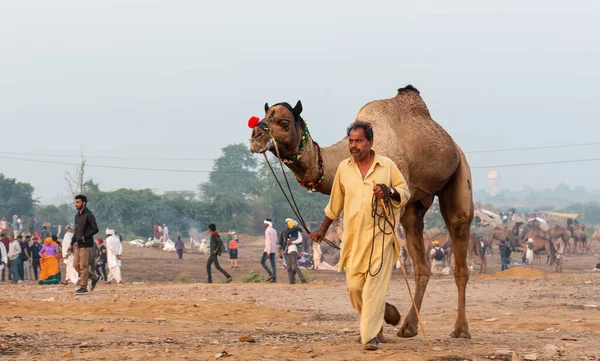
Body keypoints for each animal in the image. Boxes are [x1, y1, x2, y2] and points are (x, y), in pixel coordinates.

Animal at [248, 85, 474, 338]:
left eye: (284, 122)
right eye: (265, 115)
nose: (256, 135)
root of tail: (452, 144)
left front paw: (387, 317)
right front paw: (383, 321)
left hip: (459, 170)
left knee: (459, 231)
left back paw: (460, 330)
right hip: (416, 205)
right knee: (419, 256)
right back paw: (409, 327)